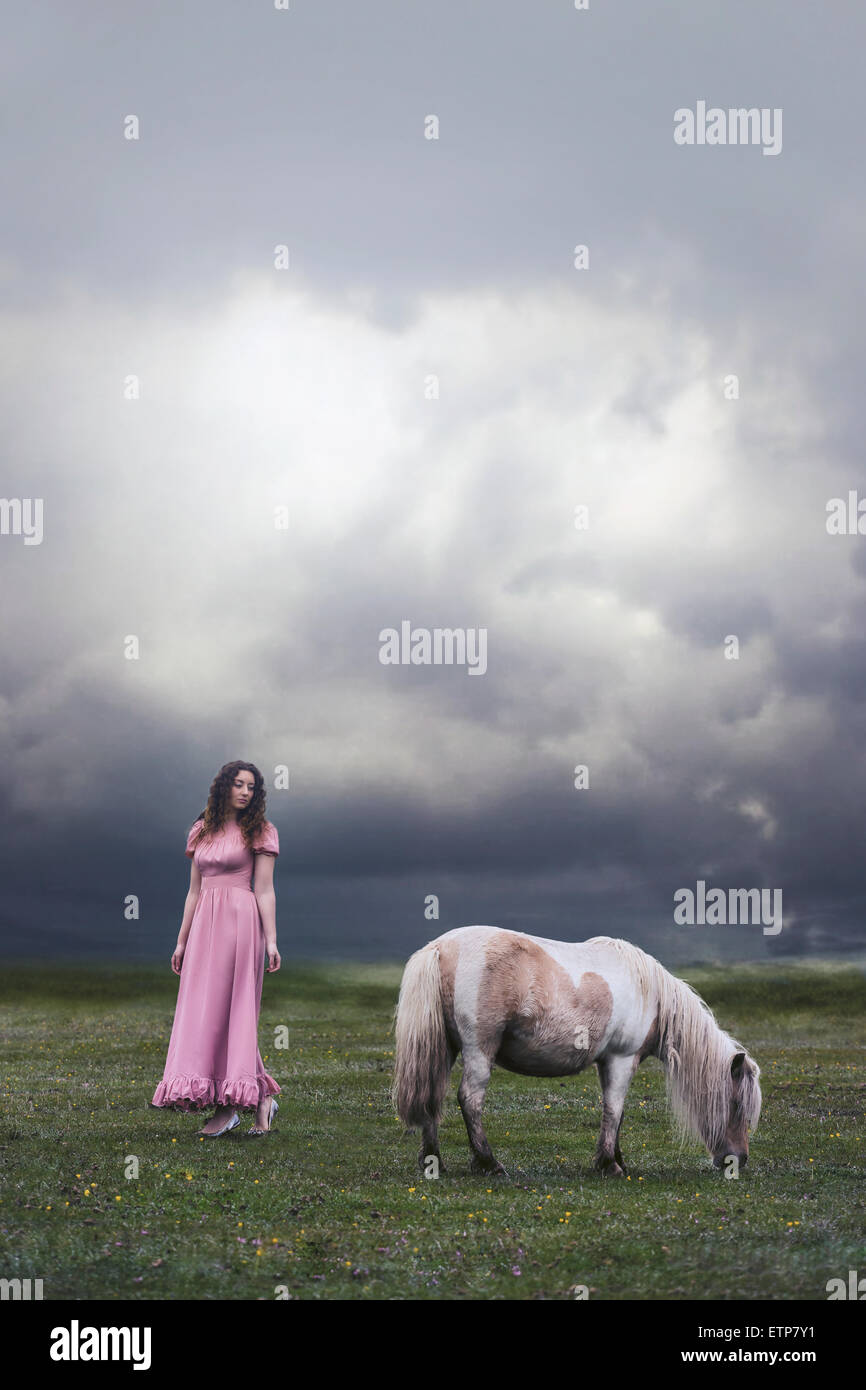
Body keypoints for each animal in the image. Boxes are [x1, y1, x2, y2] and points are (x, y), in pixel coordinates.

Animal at [389, 928, 761, 1178]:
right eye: (736, 1105)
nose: (738, 1160)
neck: (651, 994)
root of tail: (439, 948)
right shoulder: (621, 1059)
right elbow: (613, 1109)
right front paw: (610, 1165)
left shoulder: (607, 1062)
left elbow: (616, 1113)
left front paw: (615, 1159)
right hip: (479, 1050)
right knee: (470, 1099)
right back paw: (489, 1164)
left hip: (446, 1050)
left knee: (432, 1098)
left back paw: (433, 1160)